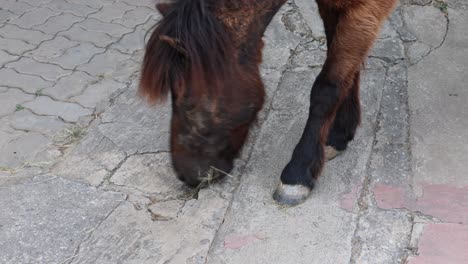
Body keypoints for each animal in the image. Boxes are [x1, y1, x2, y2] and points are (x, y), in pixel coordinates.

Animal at [141, 0, 396, 205]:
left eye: (188, 102)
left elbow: (327, 87)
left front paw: (298, 172)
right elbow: (348, 71)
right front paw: (340, 133)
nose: (185, 176)